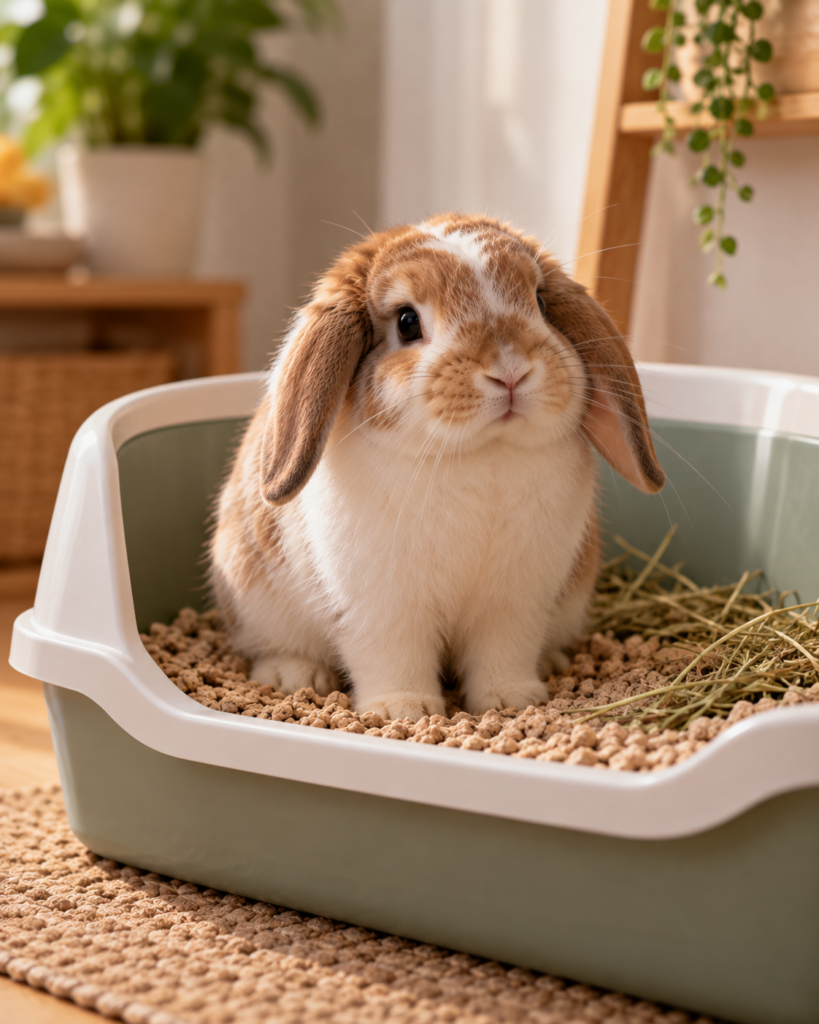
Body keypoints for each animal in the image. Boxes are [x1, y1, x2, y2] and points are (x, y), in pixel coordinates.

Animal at [209, 213, 664, 722]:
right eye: (407, 322)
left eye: (541, 302)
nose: (510, 372)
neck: (482, 455)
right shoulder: (383, 608)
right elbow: (392, 654)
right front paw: (403, 710)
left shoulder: (514, 604)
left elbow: (503, 653)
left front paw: (512, 700)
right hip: (255, 601)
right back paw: (296, 676)